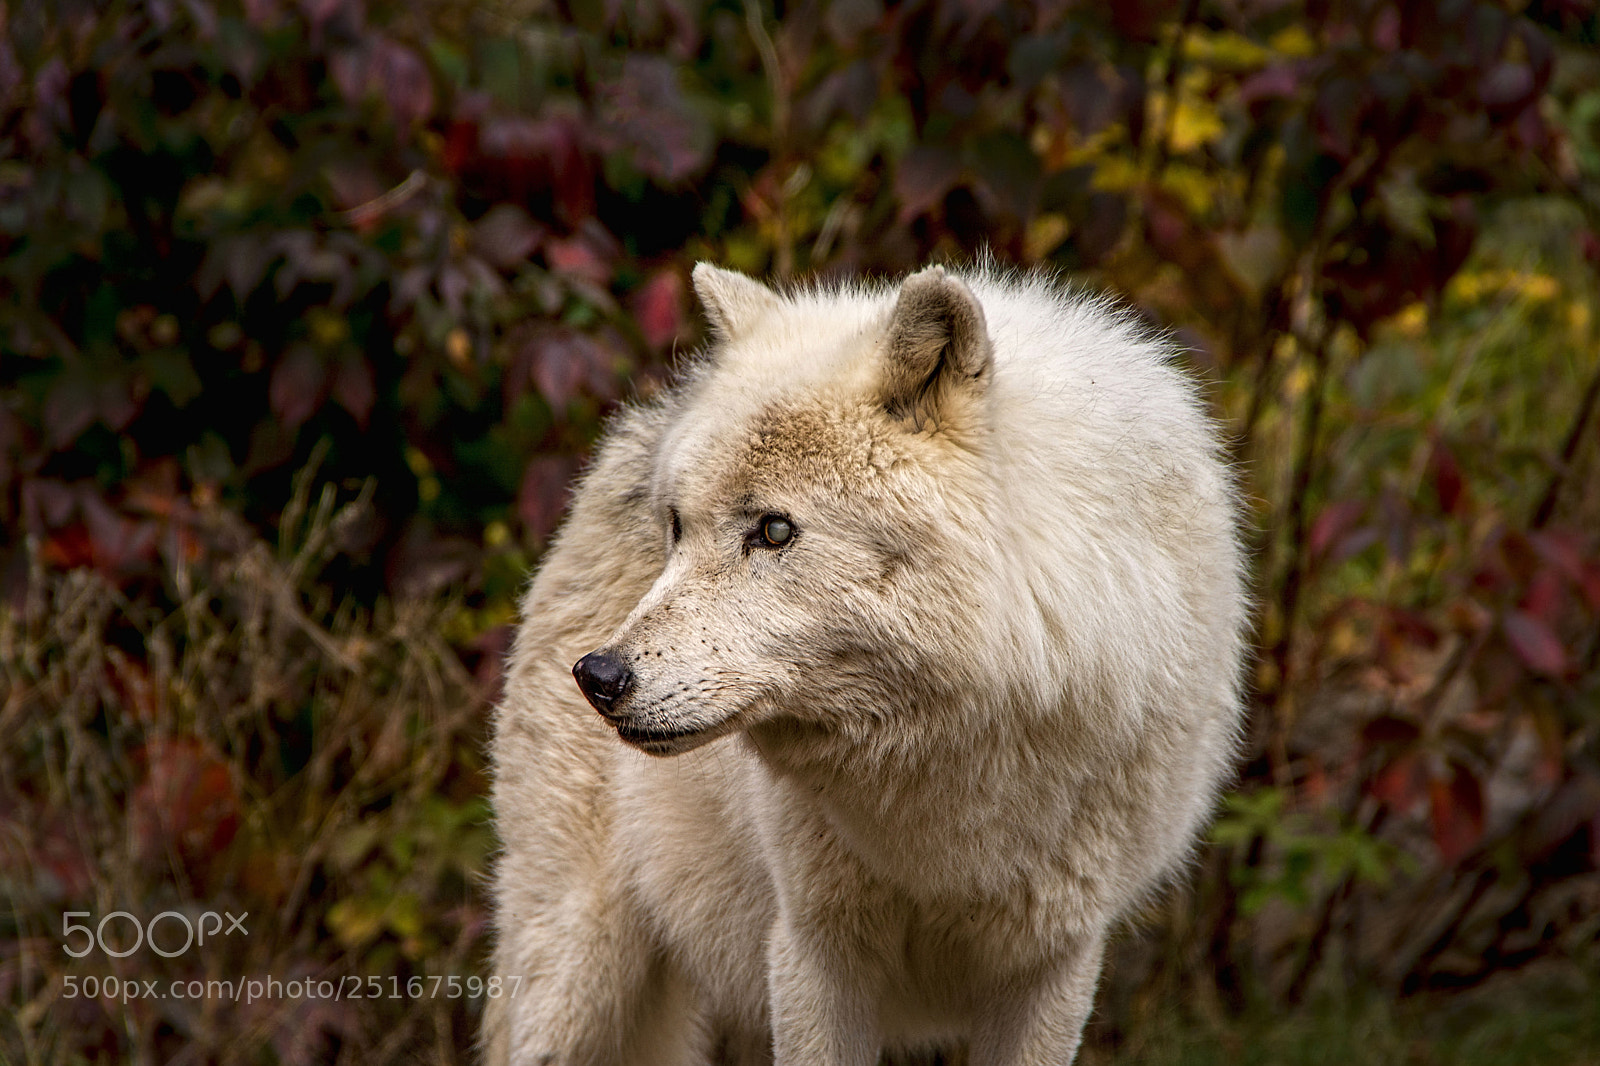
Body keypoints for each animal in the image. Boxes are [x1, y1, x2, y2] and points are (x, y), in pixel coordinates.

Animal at [485, 263, 1248, 1066]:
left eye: (774, 530)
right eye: (677, 528)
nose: (598, 677)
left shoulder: (1053, 968)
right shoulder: (813, 957)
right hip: (573, 979)